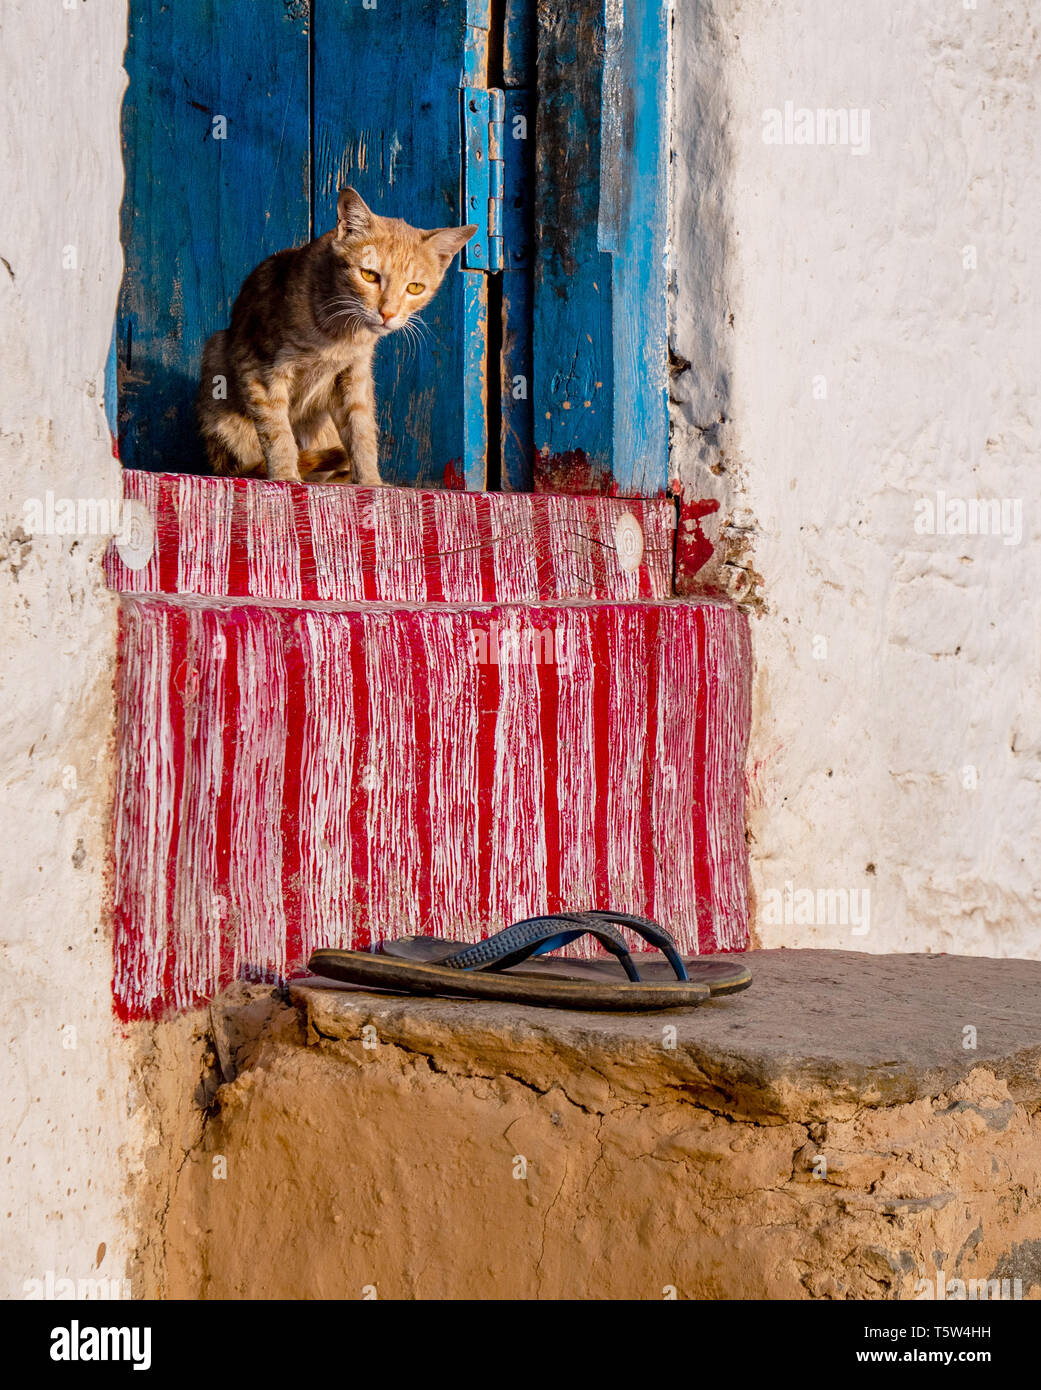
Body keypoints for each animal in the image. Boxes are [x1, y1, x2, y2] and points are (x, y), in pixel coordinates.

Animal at [197, 190, 475, 483]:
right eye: (369, 275)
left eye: (414, 288)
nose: (388, 313)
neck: (341, 334)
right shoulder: (261, 369)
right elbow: (278, 431)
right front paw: (285, 476)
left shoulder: (354, 377)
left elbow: (362, 433)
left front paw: (371, 481)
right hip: (216, 353)